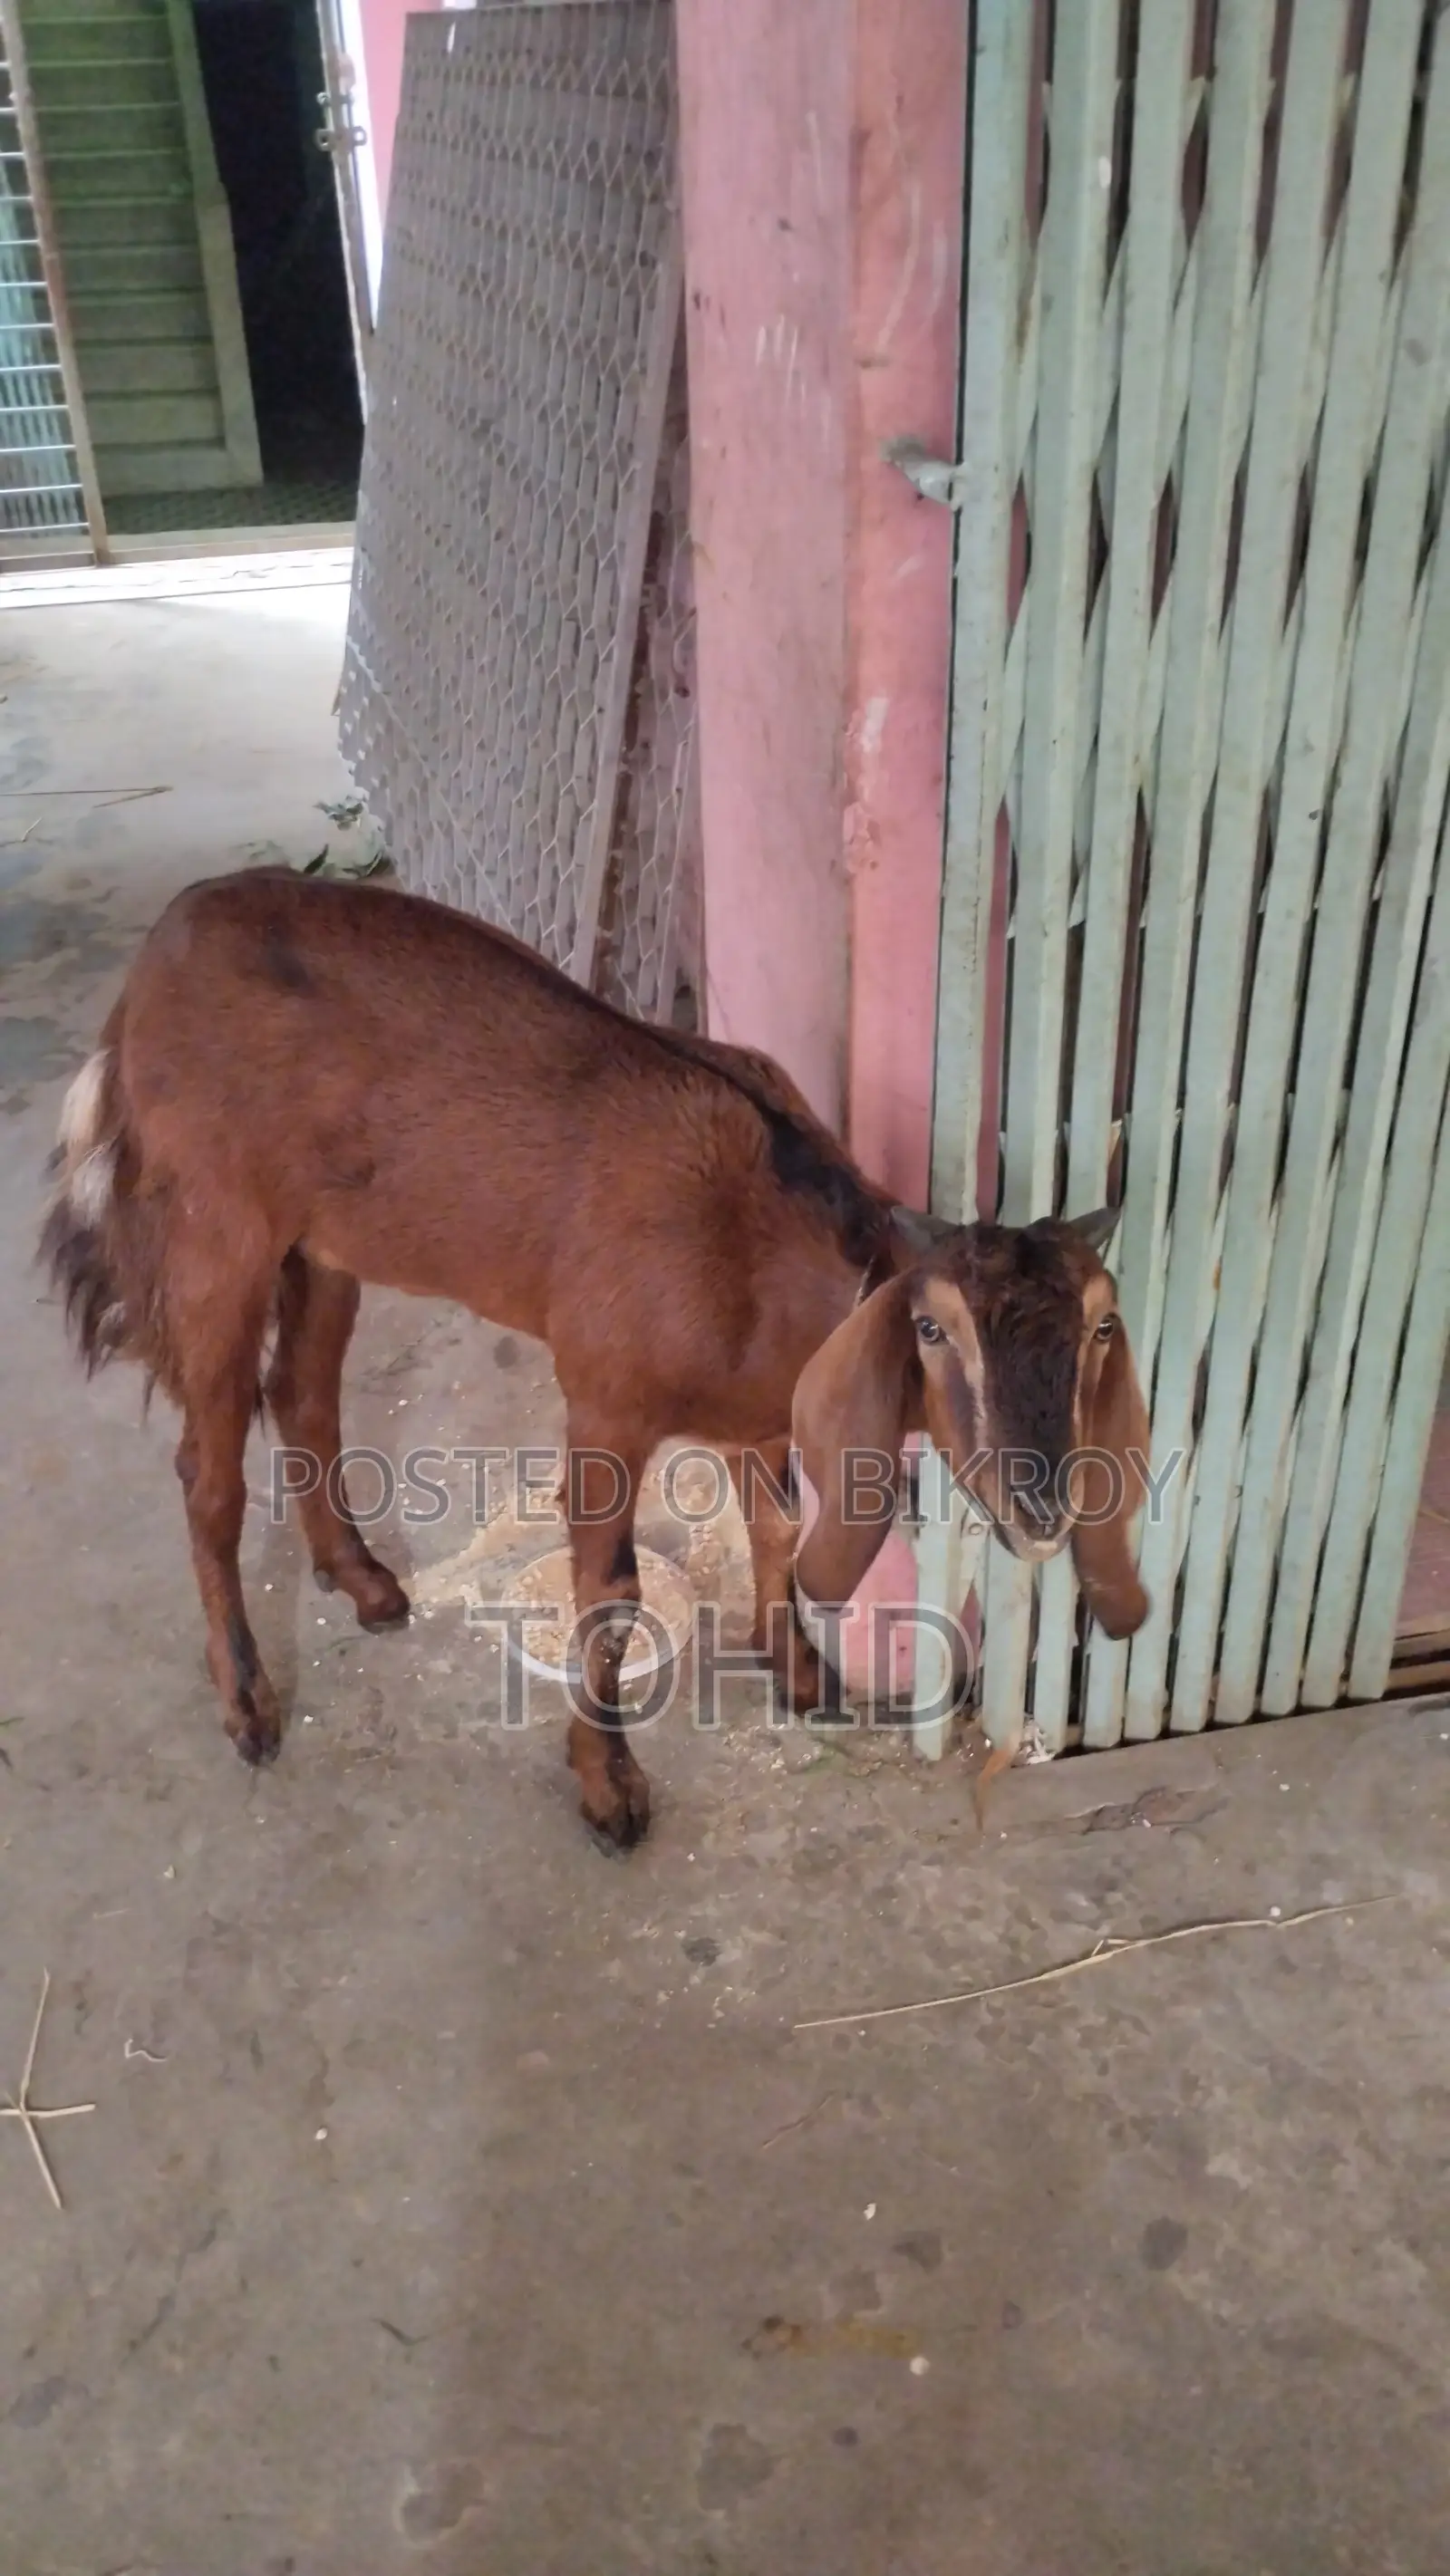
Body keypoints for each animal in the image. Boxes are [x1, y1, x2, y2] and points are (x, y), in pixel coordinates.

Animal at [39, 867, 1150, 1849]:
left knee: (302, 1392)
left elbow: (778, 1525)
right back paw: (248, 1702)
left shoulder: (759, 1412)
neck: (754, 1242)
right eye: (934, 1329)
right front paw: (609, 1790)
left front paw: (798, 1674)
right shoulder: (604, 1397)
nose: (1044, 1509)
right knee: (208, 1466)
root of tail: (150, 968)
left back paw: (364, 1582)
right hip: (212, 1224)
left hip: (321, 1240)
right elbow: (611, 1595)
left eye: (1102, 1324)